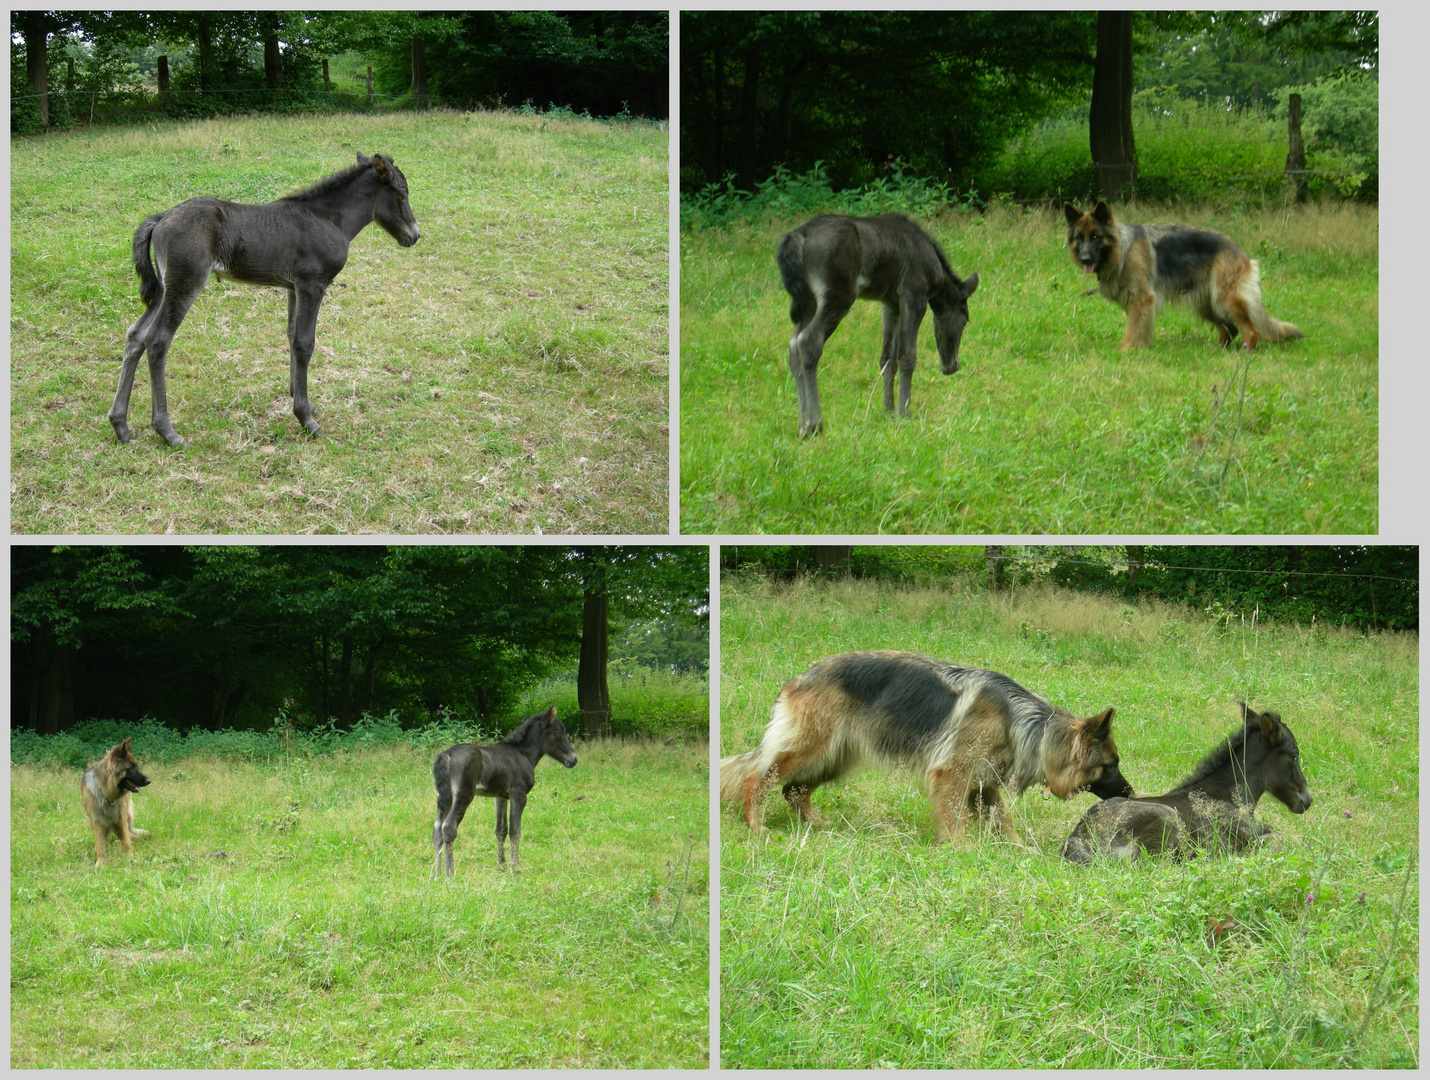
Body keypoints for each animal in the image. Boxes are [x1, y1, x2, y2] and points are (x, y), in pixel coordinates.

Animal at [108, 150, 420, 446]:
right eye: (401, 192)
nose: (414, 236)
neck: (329, 218)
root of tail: (161, 217)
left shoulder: (293, 287)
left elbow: (292, 336)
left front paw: (304, 401)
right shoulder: (313, 284)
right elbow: (305, 343)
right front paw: (306, 419)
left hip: (163, 288)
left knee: (135, 336)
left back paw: (120, 425)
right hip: (185, 282)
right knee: (157, 340)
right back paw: (167, 432)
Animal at [428, 709, 574, 881]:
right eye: (558, 734)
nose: (574, 759)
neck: (522, 754)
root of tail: (446, 755)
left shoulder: (501, 798)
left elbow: (501, 830)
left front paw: (502, 866)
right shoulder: (518, 795)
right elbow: (515, 831)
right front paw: (515, 869)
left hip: (445, 797)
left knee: (437, 829)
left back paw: (437, 875)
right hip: (463, 795)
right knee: (448, 827)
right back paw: (449, 875)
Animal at [777, 213, 978, 437]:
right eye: (965, 319)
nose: (952, 365)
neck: (937, 276)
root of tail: (797, 237)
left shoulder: (890, 304)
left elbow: (888, 359)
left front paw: (888, 411)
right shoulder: (914, 294)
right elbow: (907, 356)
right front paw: (904, 415)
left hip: (808, 302)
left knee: (793, 345)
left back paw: (801, 425)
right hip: (837, 294)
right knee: (808, 341)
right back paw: (814, 424)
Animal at [1058, 706, 1309, 864]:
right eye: (1295, 756)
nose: (1307, 799)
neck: (1228, 797)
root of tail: (1078, 838)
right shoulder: (1244, 837)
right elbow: (1274, 836)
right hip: (1166, 823)